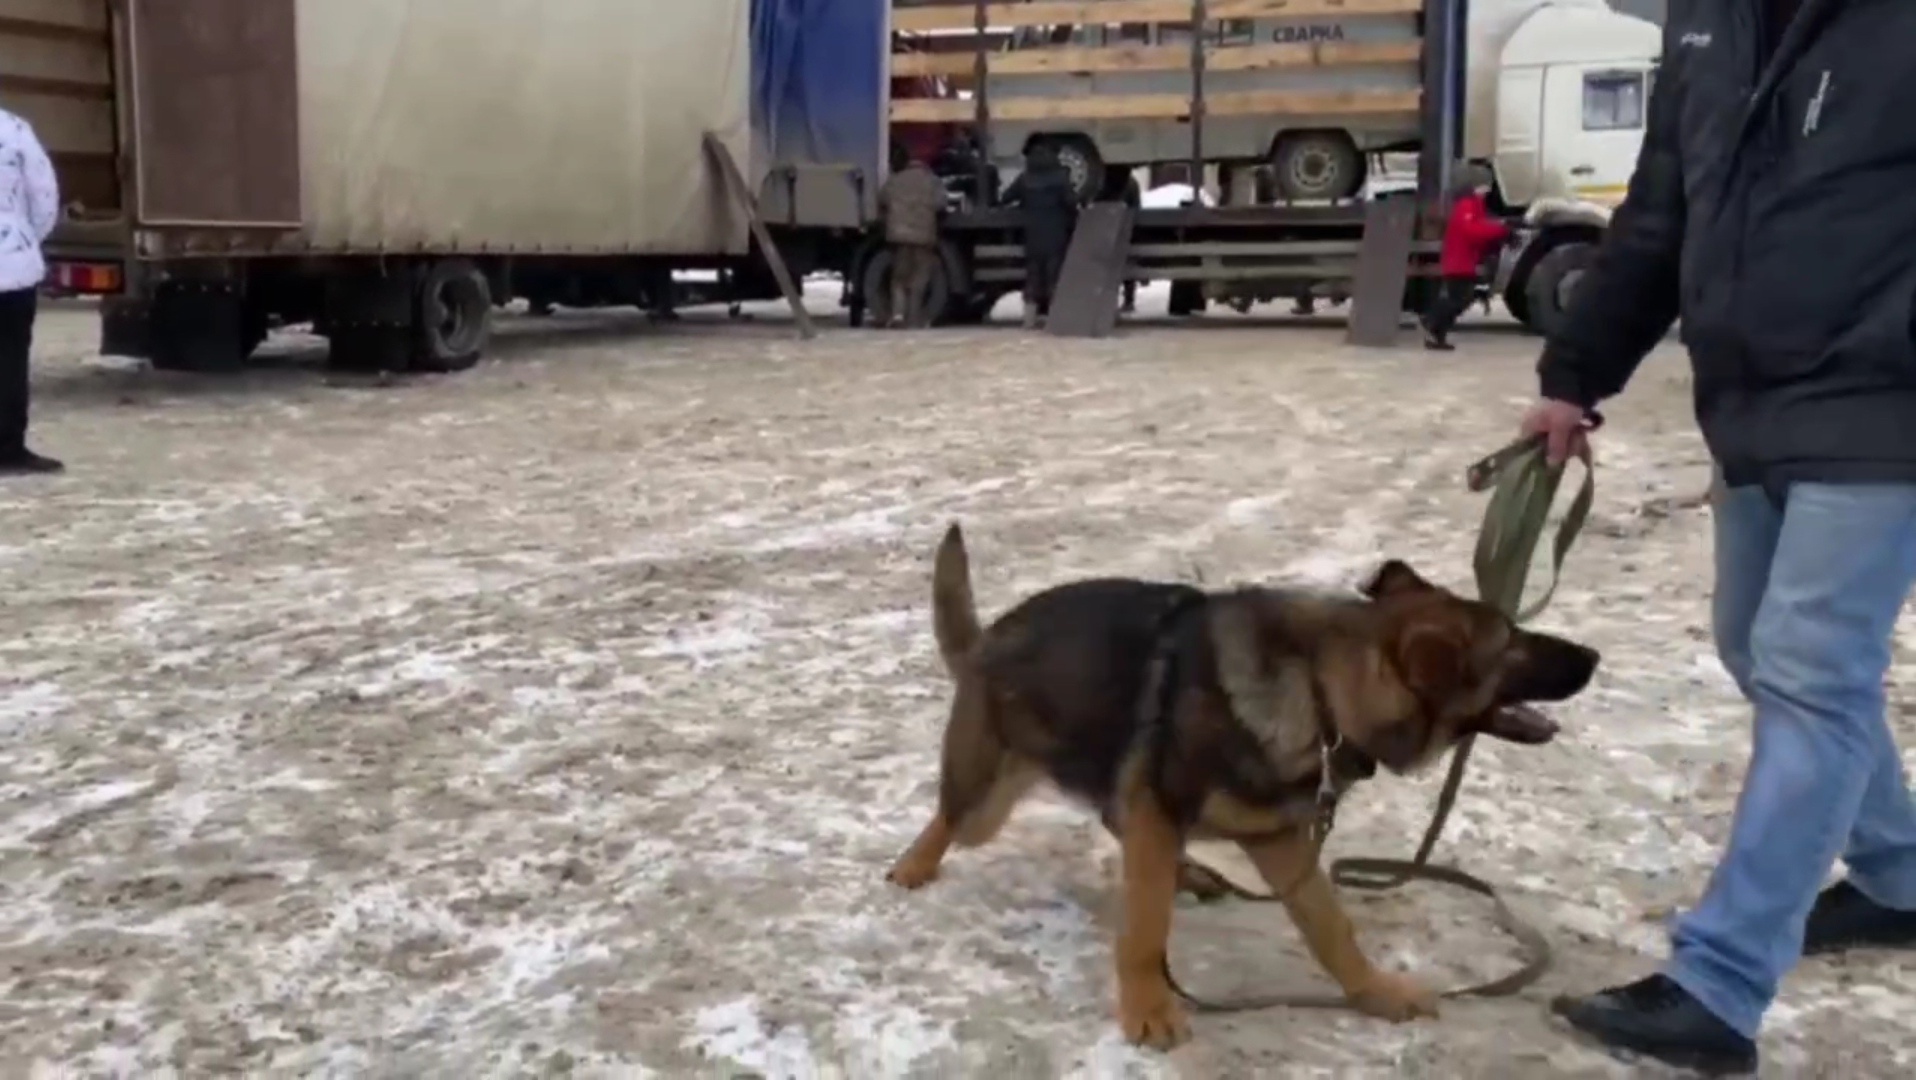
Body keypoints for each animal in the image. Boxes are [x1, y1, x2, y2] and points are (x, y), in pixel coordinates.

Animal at [885, 524, 1601, 1049]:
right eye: (1512, 642)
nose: (1595, 656)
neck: (1321, 690)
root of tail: (988, 639)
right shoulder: (1163, 808)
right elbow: (1145, 928)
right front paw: (1148, 1007)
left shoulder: (1279, 837)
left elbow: (1330, 925)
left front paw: (1373, 992)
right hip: (989, 797)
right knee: (953, 816)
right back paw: (914, 865)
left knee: (1120, 827)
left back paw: (1191, 872)